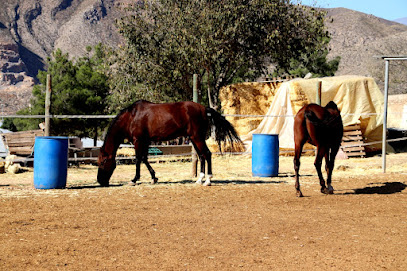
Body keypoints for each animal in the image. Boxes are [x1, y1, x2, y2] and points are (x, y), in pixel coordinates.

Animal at [97, 101, 244, 188]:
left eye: (103, 161)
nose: (100, 181)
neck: (131, 117)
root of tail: (203, 108)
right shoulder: (146, 141)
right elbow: (145, 158)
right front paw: (154, 178)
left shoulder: (138, 141)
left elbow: (138, 159)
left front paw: (134, 179)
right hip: (194, 138)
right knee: (201, 156)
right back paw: (199, 179)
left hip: (197, 138)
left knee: (207, 154)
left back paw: (208, 180)